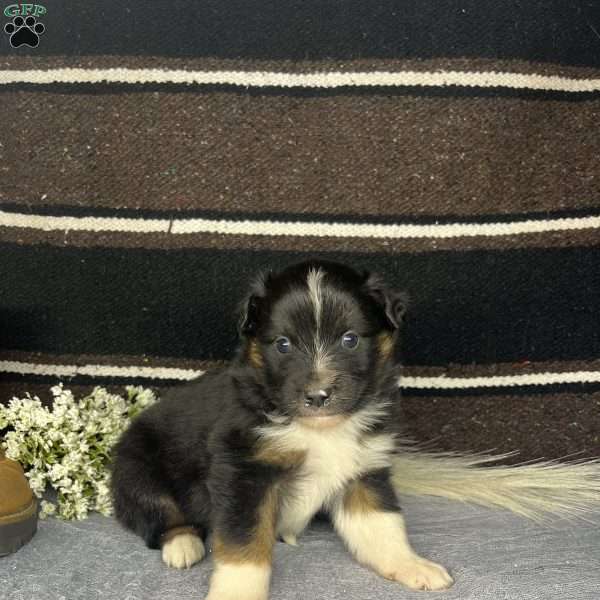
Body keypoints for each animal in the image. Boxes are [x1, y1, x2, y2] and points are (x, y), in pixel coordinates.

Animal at [110, 258, 452, 600]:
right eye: (283, 344)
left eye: (350, 339)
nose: (318, 396)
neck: (319, 430)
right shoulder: (244, 472)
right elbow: (244, 545)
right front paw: (236, 593)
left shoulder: (363, 467)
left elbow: (381, 525)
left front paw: (411, 565)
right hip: (138, 471)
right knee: (159, 513)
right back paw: (183, 544)